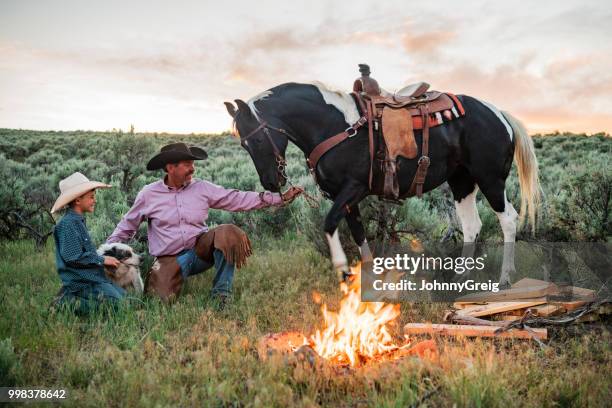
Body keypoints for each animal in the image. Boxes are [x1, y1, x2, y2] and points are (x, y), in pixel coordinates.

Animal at [225, 79, 540, 284]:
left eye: (256, 141)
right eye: (242, 144)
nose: (271, 183)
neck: (335, 125)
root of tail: (500, 114)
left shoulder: (354, 188)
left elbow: (329, 224)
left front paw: (342, 269)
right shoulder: (344, 197)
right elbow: (357, 233)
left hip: (490, 179)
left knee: (508, 219)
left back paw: (505, 278)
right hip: (462, 181)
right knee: (472, 225)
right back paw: (462, 275)